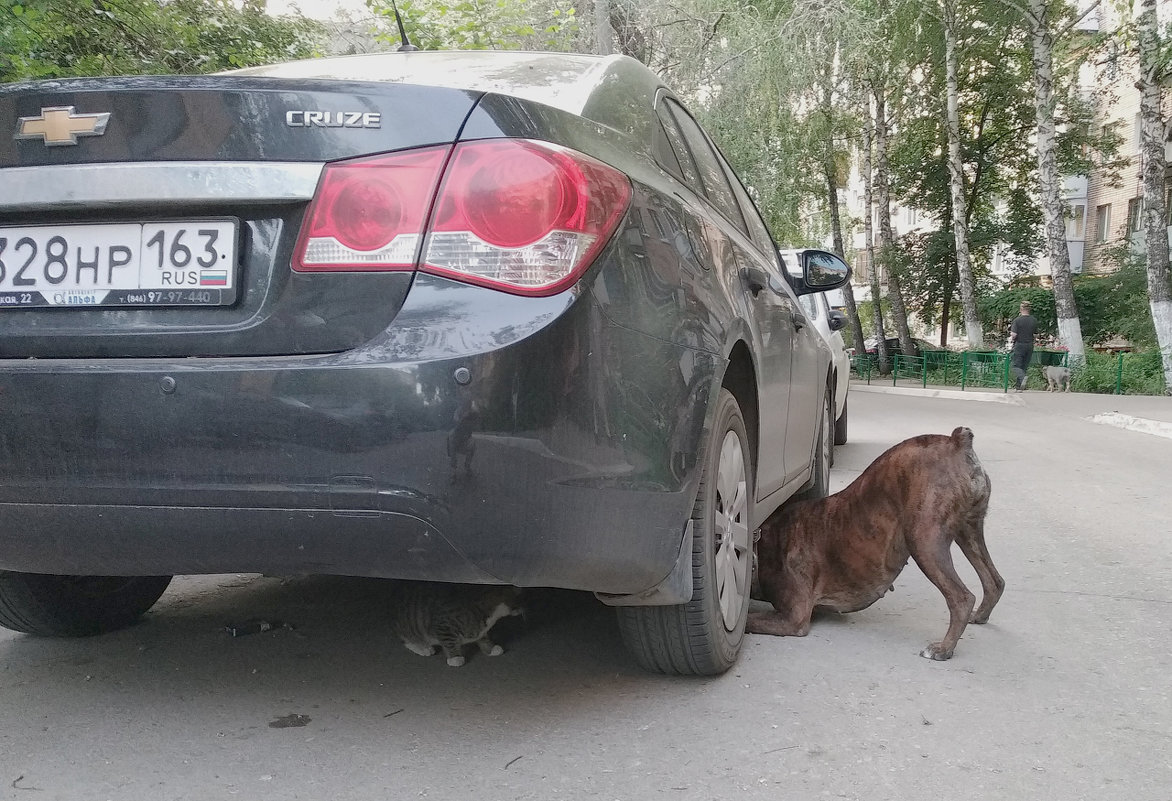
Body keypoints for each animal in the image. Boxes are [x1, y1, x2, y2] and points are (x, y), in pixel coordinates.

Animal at [391, 579, 525, 666]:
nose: (524, 609)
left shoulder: (480, 629)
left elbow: (483, 637)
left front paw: (491, 648)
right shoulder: (443, 626)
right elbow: (449, 642)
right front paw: (455, 658)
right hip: (410, 626)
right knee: (407, 640)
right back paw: (423, 648)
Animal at [750, 429, 1007, 661]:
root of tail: (957, 441)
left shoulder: (793, 618)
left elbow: (751, 622)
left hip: (924, 541)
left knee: (961, 597)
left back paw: (943, 649)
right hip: (969, 530)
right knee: (993, 580)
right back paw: (980, 616)